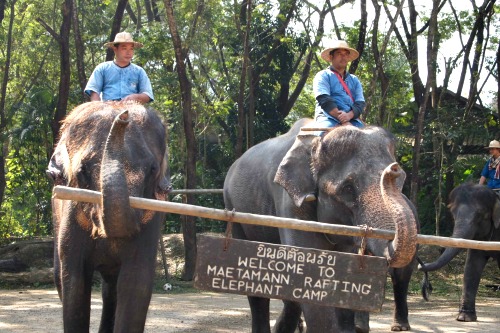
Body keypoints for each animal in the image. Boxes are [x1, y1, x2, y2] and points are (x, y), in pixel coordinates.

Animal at [47, 101, 172, 332]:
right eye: (82, 171)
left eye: (152, 169)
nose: (123, 116)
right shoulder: (71, 216)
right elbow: (75, 285)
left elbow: (136, 283)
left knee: (111, 287)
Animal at [225, 118, 420, 332]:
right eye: (348, 188)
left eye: (401, 180)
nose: (393, 169)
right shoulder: (290, 201)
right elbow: (307, 265)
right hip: (234, 208)